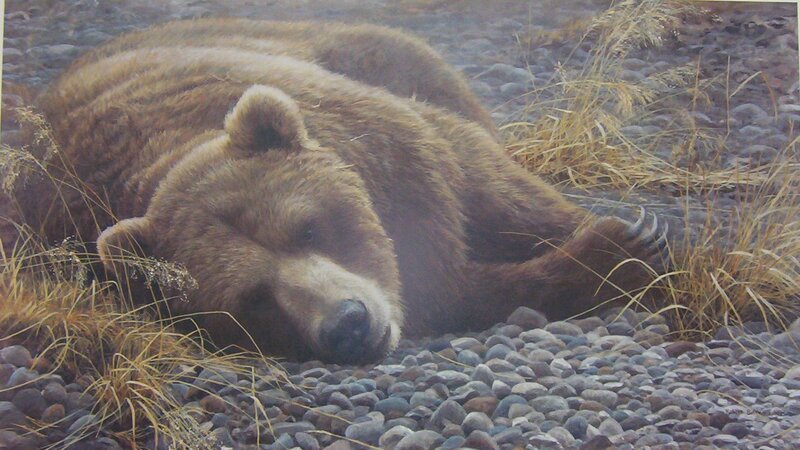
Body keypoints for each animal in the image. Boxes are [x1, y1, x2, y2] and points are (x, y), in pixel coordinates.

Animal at [15, 19, 667, 363]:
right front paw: (613, 254)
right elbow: (465, 292)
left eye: (309, 226)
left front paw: (638, 237)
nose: (348, 323)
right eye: (253, 297)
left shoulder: (401, 152)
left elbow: (491, 186)